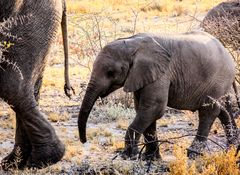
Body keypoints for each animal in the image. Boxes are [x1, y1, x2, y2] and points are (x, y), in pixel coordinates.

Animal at [78, 31, 238, 160]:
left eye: (110, 72)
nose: (84, 141)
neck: (133, 43)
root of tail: (226, 51)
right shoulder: (142, 75)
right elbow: (144, 110)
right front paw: (150, 158)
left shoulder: (161, 74)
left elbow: (154, 108)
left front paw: (128, 156)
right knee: (223, 110)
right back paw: (232, 150)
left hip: (219, 79)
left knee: (208, 111)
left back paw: (194, 155)